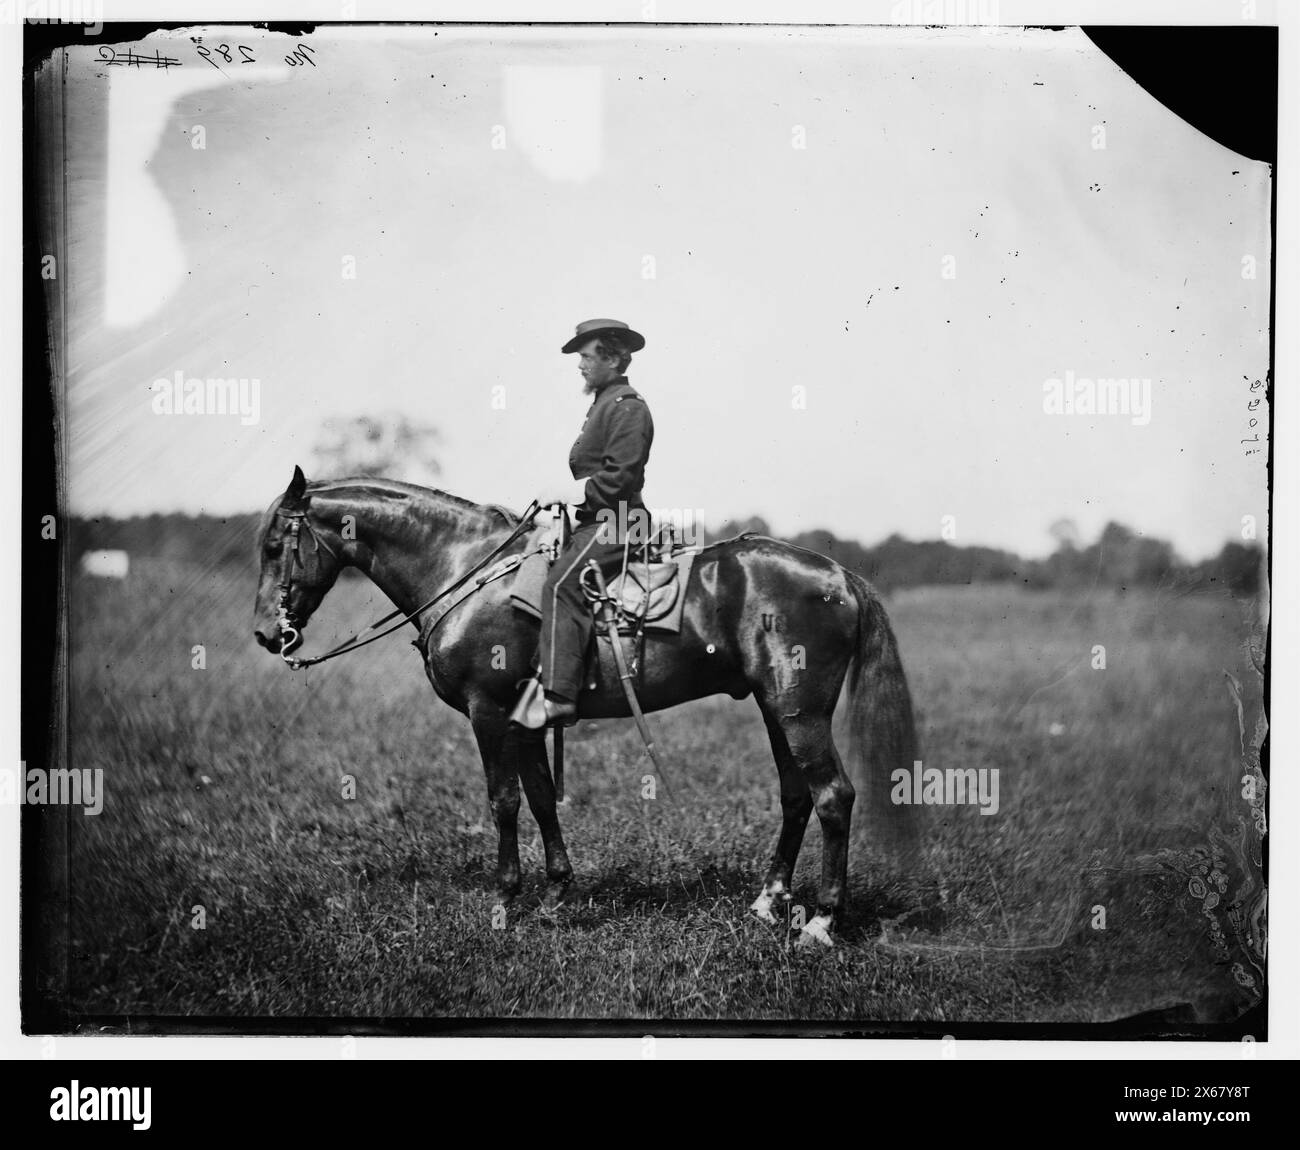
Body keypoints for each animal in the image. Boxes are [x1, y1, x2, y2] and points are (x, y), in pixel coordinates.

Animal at [253, 465, 920, 940]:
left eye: (274, 547)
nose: (265, 634)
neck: (468, 573)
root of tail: (837, 575)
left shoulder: (488, 712)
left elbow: (503, 801)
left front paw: (504, 902)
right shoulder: (524, 721)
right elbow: (542, 797)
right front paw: (555, 894)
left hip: (799, 711)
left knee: (833, 796)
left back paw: (822, 922)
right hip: (777, 709)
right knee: (795, 795)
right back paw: (767, 902)